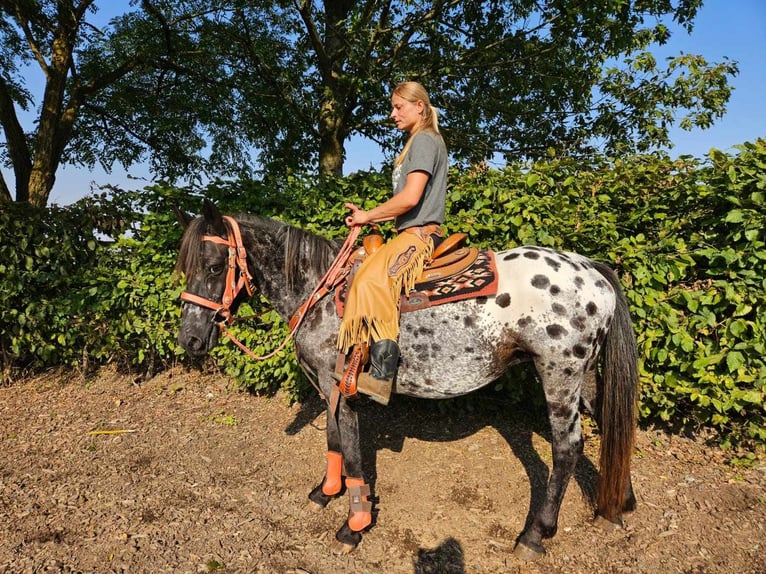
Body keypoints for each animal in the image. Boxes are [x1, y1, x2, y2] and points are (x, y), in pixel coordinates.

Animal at [177, 200, 640, 560]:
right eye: (186, 270)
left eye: (214, 266)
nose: (190, 340)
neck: (319, 291)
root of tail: (591, 268)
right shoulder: (326, 387)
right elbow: (332, 440)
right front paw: (325, 492)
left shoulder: (341, 386)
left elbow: (352, 450)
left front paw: (354, 525)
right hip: (585, 376)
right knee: (613, 422)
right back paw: (618, 503)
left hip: (559, 374)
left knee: (567, 447)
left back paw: (534, 534)